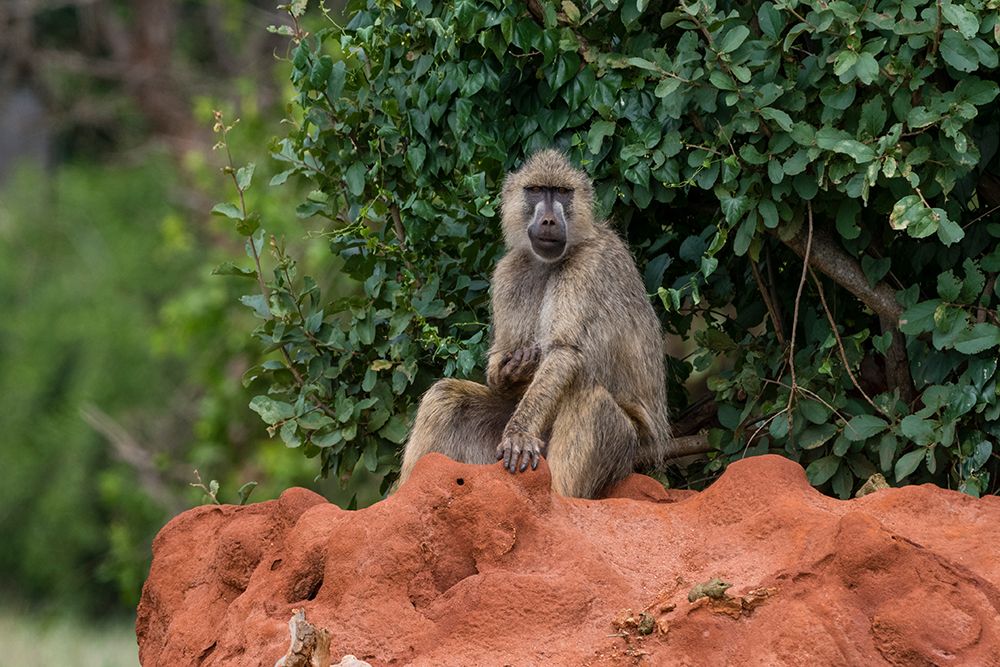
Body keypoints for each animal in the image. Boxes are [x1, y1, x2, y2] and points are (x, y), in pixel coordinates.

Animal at [397, 149, 671, 499]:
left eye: (562, 192)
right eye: (537, 190)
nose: (550, 221)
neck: (549, 263)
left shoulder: (589, 264)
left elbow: (565, 351)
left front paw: (518, 434)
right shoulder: (509, 272)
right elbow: (502, 362)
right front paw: (511, 369)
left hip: (631, 454)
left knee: (588, 398)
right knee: (446, 398)